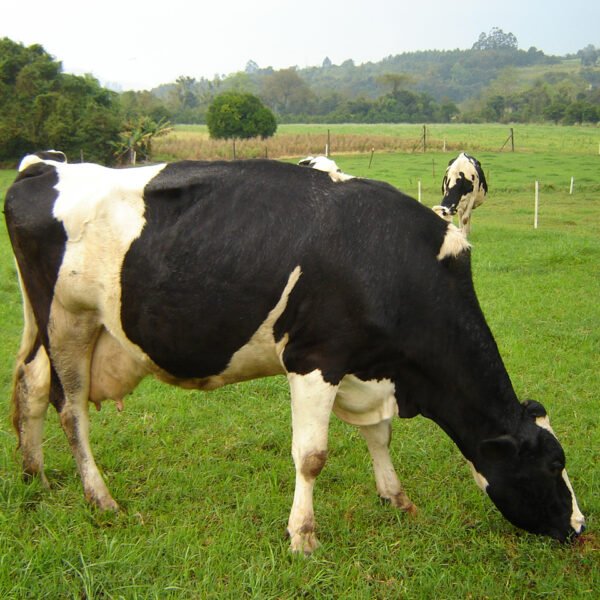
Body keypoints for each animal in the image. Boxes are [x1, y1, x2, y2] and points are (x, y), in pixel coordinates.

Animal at [5, 153, 585, 554]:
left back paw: (36, 476)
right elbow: (311, 456)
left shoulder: (368, 366)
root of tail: (43, 166)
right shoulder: (315, 359)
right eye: (554, 463)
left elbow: (379, 436)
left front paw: (397, 498)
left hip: (53, 326)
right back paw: (100, 497)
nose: (579, 528)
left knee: (31, 387)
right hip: (67, 321)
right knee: (70, 409)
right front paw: (303, 536)